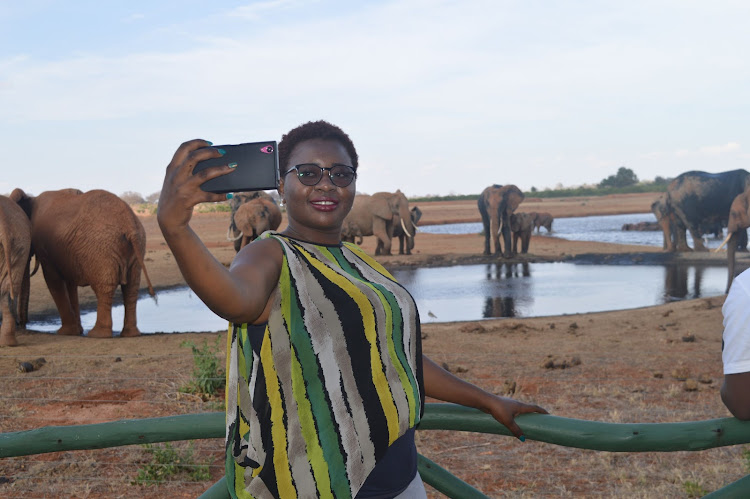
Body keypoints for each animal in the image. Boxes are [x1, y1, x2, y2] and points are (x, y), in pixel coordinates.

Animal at [11, 188, 156, 340]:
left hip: (102, 251)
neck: (32, 199)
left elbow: (53, 280)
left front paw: (66, 332)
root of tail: (129, 223)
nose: (22, 325)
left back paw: (98, 334)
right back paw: (130, 334)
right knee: (131, 287)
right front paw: (77, 331)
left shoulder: (45, 247)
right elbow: (69, 283)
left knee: (105, 288)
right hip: (137, 246)